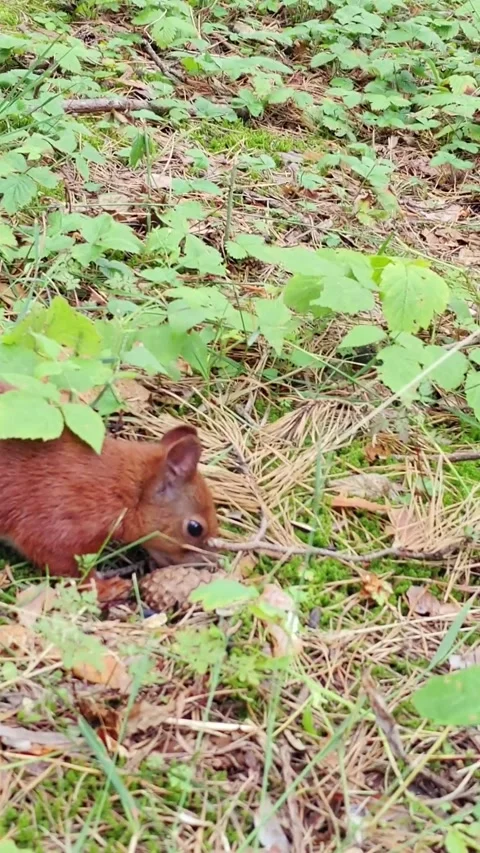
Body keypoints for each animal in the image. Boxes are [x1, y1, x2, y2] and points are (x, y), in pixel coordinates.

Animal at [0, 383, 218, 589]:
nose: (208, 564)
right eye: (195, 528)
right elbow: (66, 565)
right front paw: (108, 588)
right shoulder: (57, 520)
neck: (120, 490)